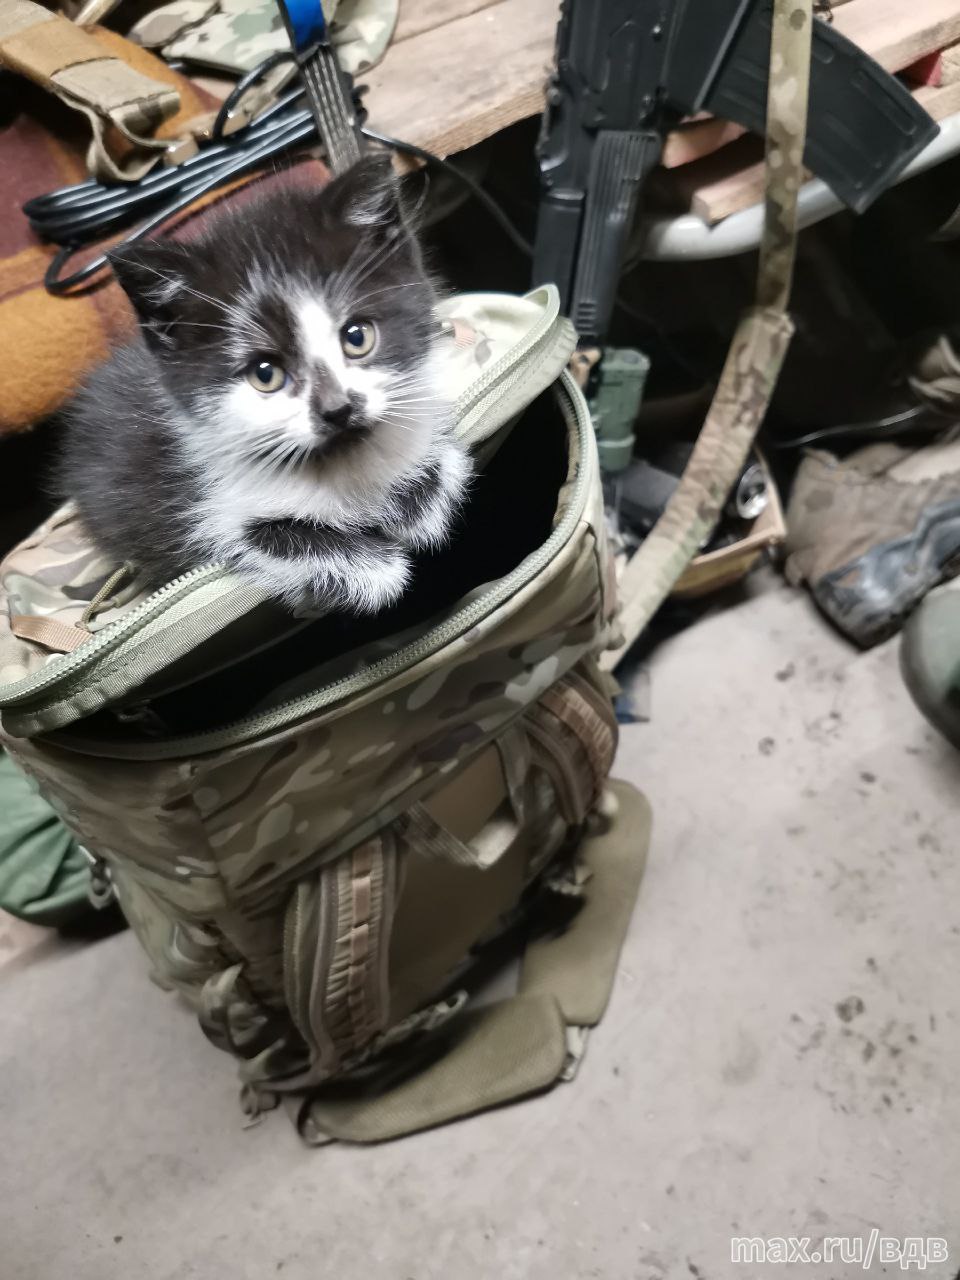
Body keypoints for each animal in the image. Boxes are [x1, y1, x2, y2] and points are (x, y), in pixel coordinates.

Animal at [55, 155, 470, 614]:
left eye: (357, 337)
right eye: (265, 374)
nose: (338, 409)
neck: (340, 458)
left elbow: (441, 458)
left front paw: (416, 499)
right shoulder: (207, 512)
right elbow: (263, 539)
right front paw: (378, 568)